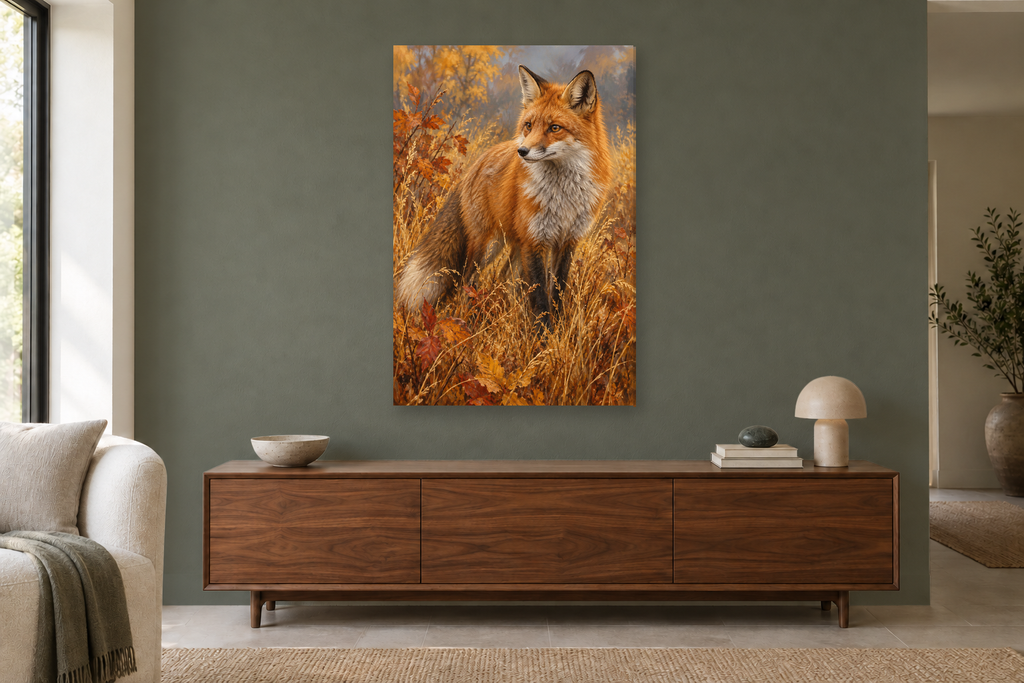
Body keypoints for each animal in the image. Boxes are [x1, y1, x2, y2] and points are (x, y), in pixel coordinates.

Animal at [397, 65, 612, 328]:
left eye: (554, 128)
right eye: (528, 125)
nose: (522, 151)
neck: (563, 196)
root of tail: (477, 162)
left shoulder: (567, 241)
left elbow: (557, 292)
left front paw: (558, 330)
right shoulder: (535, 240)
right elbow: (539, 297)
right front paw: (543, 335)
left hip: (516, 247)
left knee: (503, 278)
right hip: (487, 245)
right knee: (467, 282)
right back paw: (467, 319)